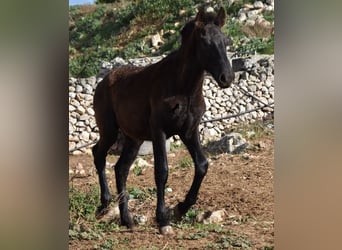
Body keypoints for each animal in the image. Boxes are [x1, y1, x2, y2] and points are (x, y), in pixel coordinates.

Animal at [92, 7, 234, 234]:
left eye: (226, 41)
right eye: (205, 41)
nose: (226, 78)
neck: (183, 88)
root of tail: (103, 82)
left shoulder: (189, 131)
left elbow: (202, 165)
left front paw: (181, 208)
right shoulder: (159, 131)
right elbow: (162, 171)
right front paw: (163, 219)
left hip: (134, 138)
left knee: (121, 169)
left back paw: (126, 219)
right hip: (109, 130)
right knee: (98, 154)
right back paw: (105, 203)